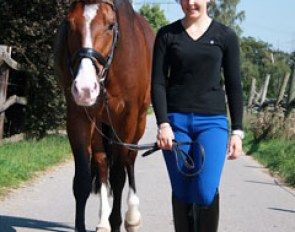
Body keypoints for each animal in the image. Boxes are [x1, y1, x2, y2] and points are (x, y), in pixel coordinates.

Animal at [53, 0, 155, 231]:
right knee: (101, 163)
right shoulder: (78, 117)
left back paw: (132, 216)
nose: (84, 88)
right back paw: (102, 221)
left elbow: (118, 177)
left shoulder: (127, 120)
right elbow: (82, 181)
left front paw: (118, 220)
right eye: (69, 24)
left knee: (129, 161)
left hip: (139, 121)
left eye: (110, 25)